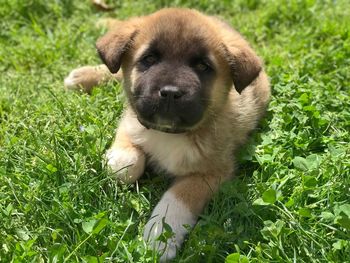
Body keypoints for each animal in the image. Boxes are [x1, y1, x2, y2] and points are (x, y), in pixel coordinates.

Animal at [63, 8, 270, 262]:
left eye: (203, 66)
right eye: (149, 59)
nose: (170, 93)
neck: (169, 133)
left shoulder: (212, 172)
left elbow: (178, 198)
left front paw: (160, 236)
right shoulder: (132, 117)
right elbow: (126, 166)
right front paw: (117, 159)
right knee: (116, 72)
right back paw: (82, 77)